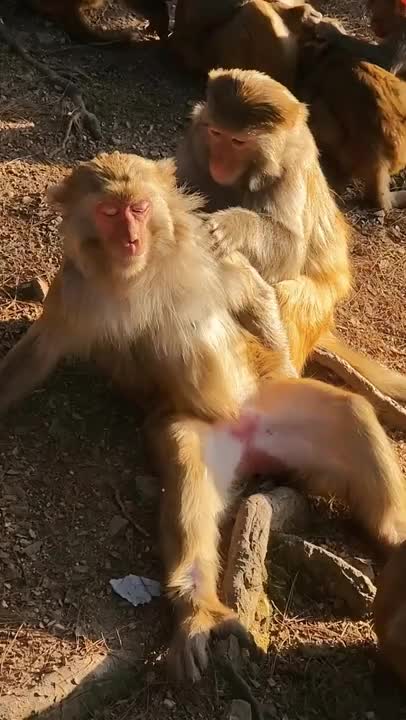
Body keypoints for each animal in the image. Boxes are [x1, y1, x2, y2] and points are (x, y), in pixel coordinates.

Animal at [1, 151, 406, 683]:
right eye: (110, 213)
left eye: (139, 208)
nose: (130, 238)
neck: (144, 270)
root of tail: (250, 442)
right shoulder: (76, 291)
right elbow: (38, 355)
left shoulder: (208, 249)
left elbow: (251, 293)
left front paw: (278, 353)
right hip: (199, 432)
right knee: (188, 480)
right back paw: (197, 607)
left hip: (274, 406)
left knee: (350, 411)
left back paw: (393, 535)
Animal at [176, 67, 406, 401]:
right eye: (216, 134)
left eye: (237, 142)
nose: (219, 162)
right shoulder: (195, 143)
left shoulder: (290, 167)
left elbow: (290, 251)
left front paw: (231, 226)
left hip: (315, 312)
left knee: (287, 292)